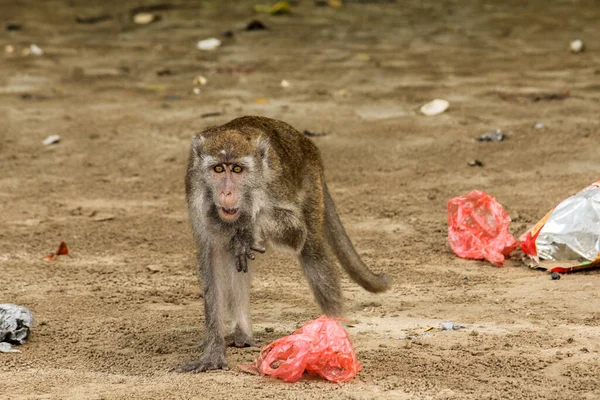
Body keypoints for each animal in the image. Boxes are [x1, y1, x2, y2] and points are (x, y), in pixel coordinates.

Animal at [182, 115, 390, 372]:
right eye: (218, 169)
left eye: (238, 169)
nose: (227, 193)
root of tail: (305, 142)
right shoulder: (195, 193)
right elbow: (212, 260)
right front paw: (213, 351)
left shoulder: (273, 187)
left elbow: (296, 233)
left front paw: (248, 228)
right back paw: (242, 334)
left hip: (310, 184)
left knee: (312, 247)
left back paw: (334, 331)